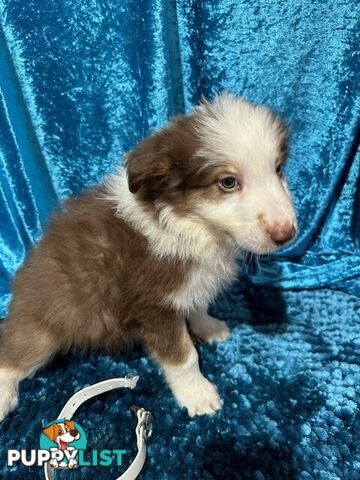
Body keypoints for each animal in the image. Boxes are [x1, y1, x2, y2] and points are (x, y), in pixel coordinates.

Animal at [0, 92, 296, 418]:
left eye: (278, 169)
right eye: (228, 182)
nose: (287, 233)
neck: (195, 225)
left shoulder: (189, 284)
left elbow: (197, 305)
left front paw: (208, 327)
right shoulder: (154, 306)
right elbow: (184, 356)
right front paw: (197, 394)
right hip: (46, 324)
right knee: (12, 355)